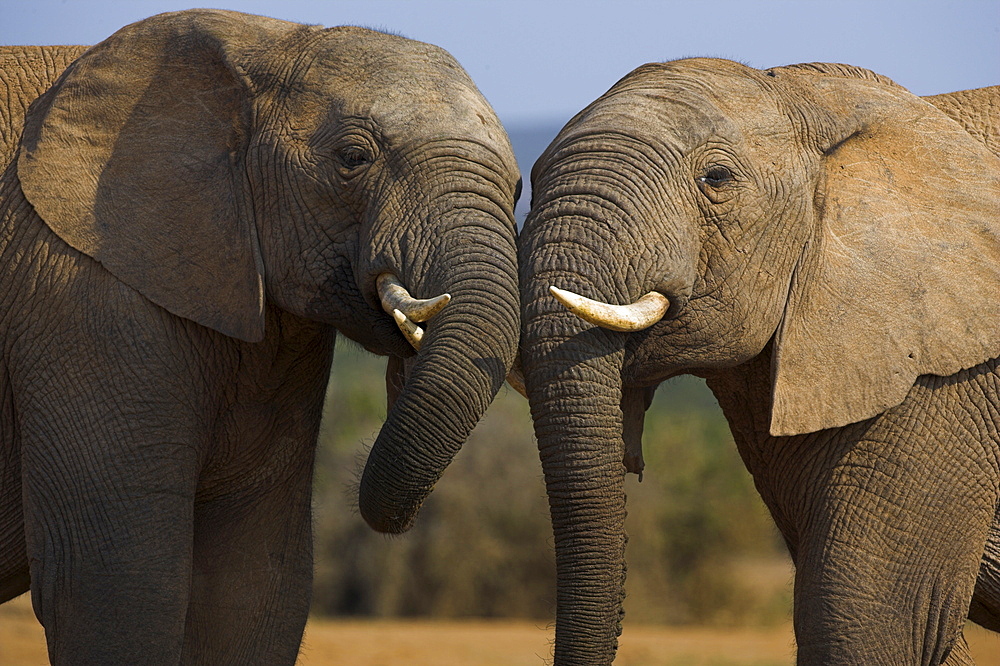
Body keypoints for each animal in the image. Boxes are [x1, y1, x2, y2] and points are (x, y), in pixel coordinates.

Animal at [1, 7, 524, 660]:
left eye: (519, 187)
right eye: (353, 158)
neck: (270, 42)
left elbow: (256, 581)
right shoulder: (82, 296)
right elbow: (114, 584)